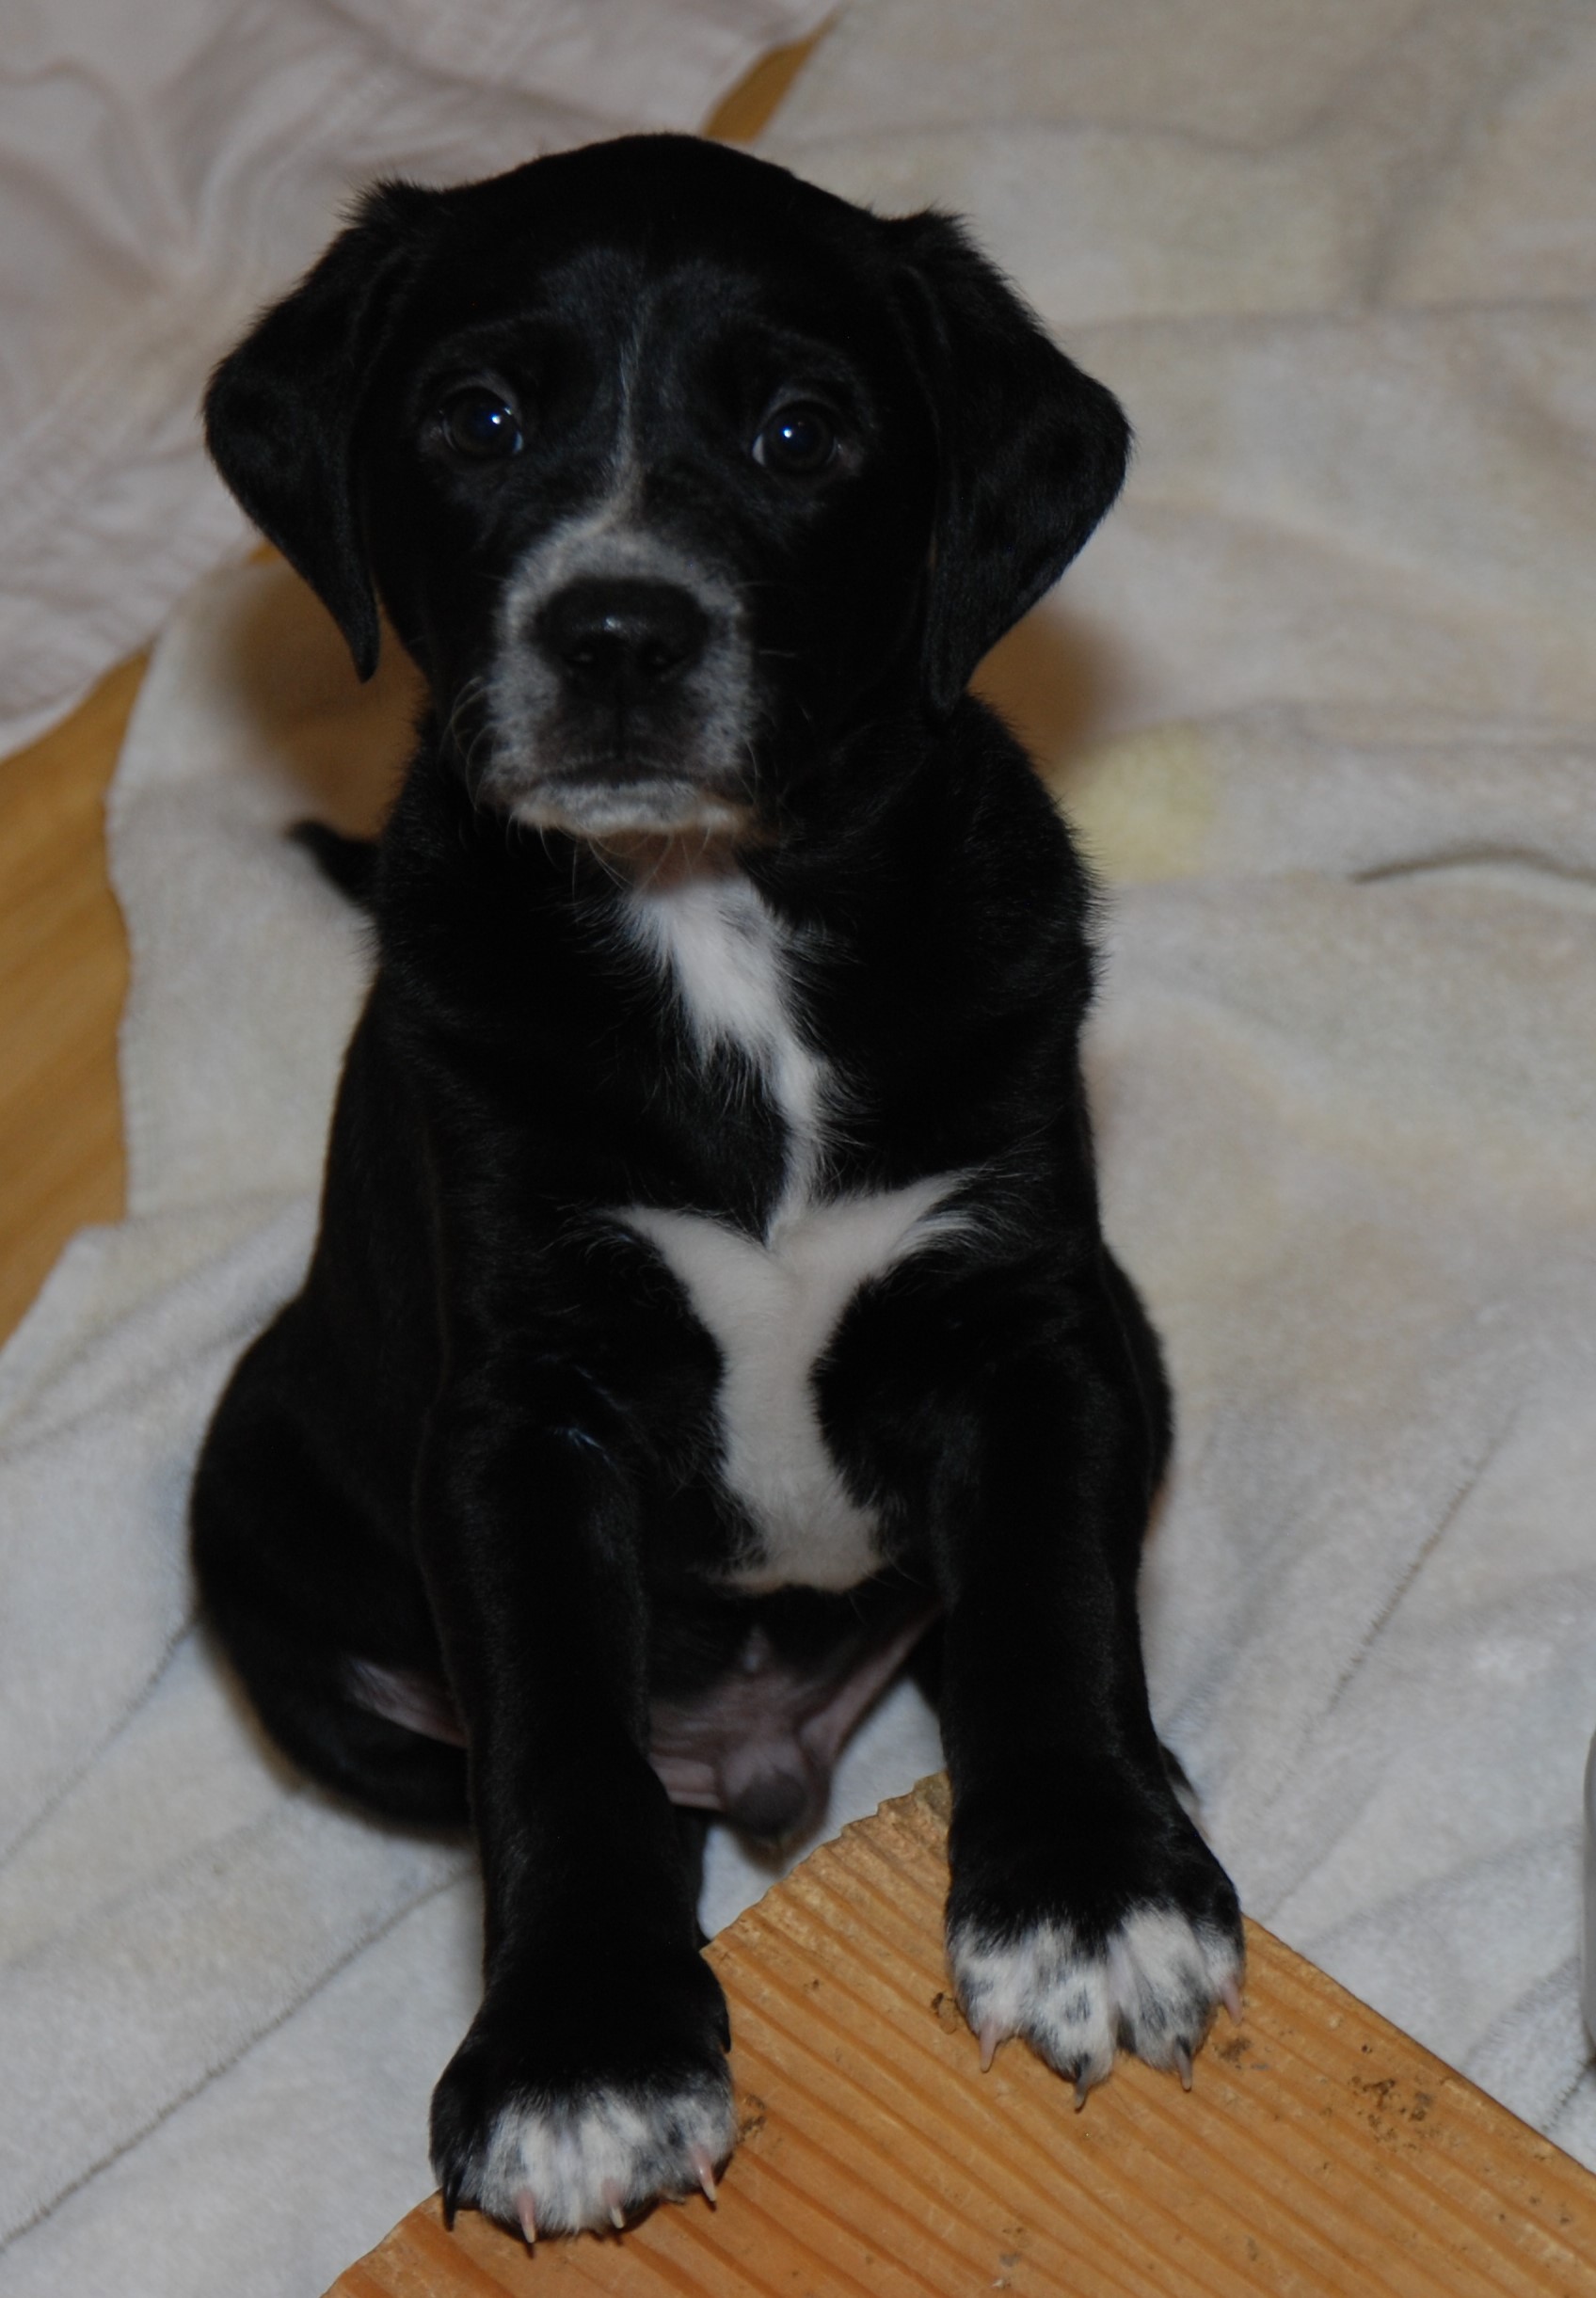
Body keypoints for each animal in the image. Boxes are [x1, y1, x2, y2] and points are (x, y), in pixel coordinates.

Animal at [193, 132, 1244, 2241]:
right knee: (593, 1784)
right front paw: (583, 2055)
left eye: (797, 434)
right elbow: (557, 1745)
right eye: (478, 419)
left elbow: (1044, 1609)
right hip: (253, 1500)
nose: (617, 631)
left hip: (1136, 1347)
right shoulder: (522, 1420)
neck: (711, 916)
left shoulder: (1026, 1325)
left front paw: (1090, 1892)